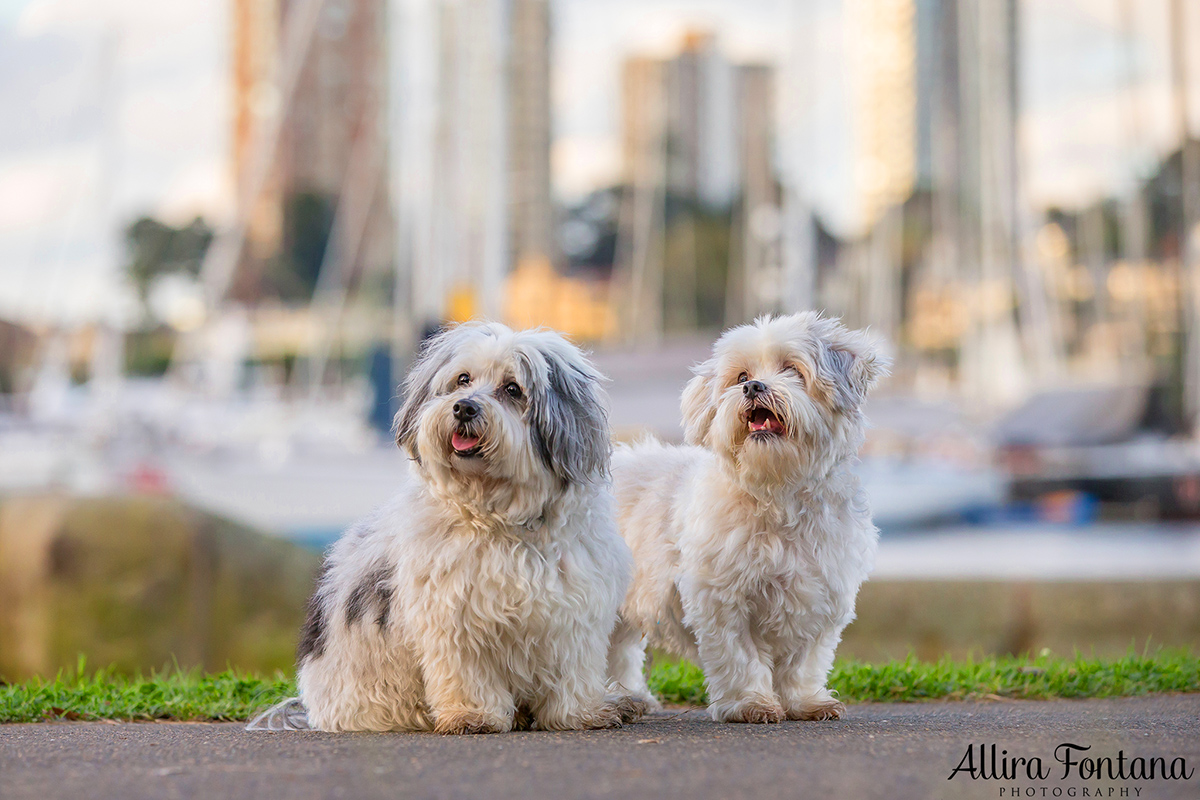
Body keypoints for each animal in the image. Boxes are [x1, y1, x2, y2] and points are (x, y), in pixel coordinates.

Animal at [604, 311, 888, 724]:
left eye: (792, 369)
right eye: (740, 377)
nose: (753, 386)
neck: (776, 492)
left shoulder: (820, 596)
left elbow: (804, 662)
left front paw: (806, 702)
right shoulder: (722, 599)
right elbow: (739, 656)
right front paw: (750, 703)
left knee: (619, 650)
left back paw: (628, 696)